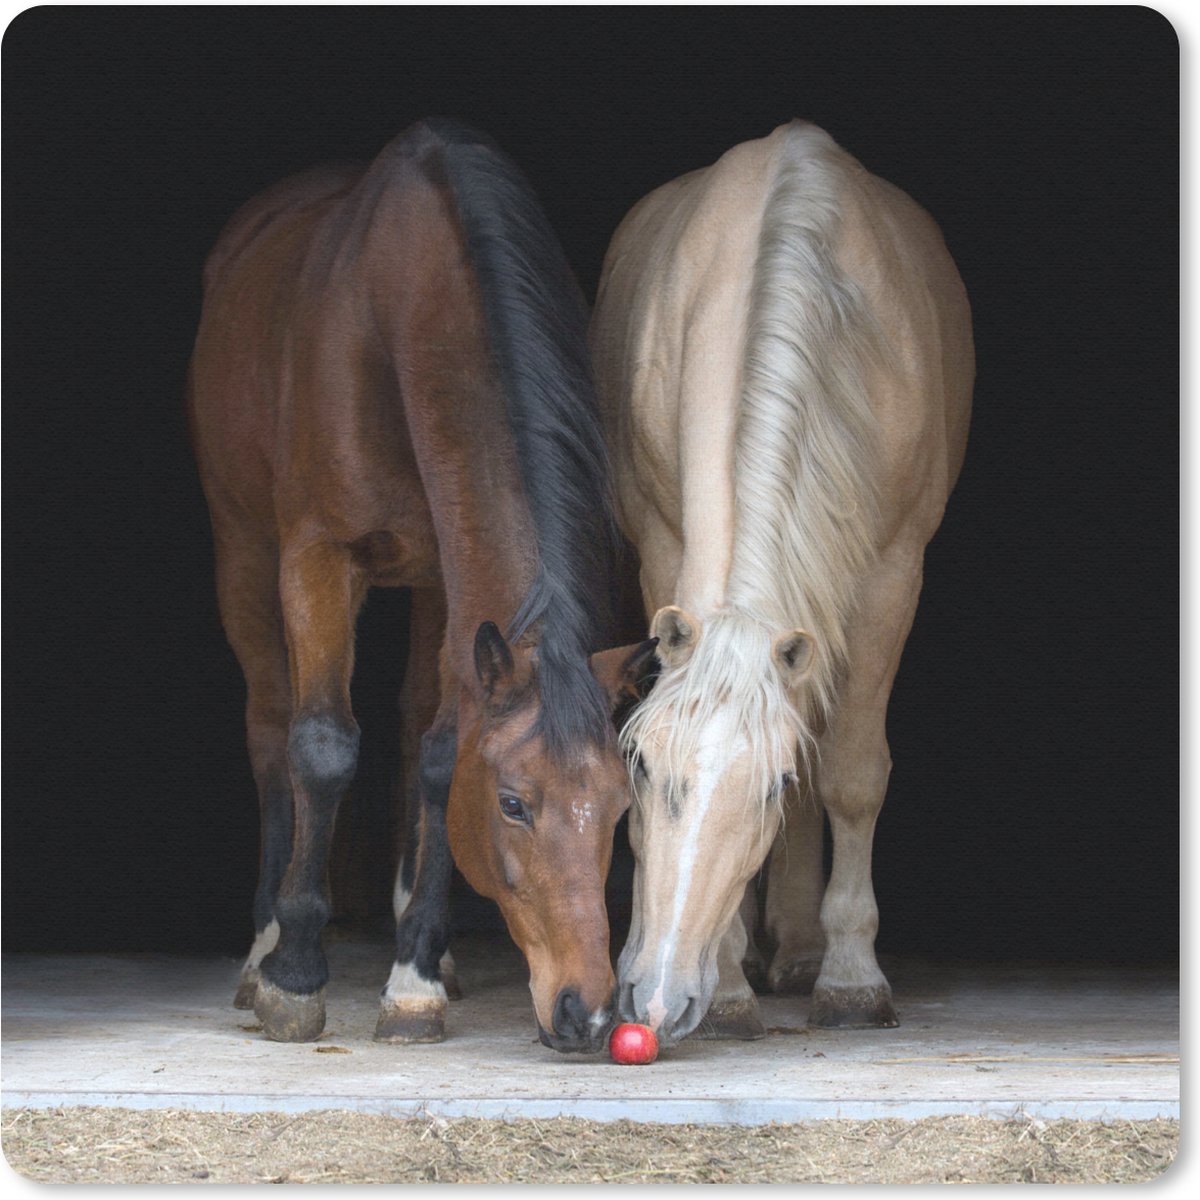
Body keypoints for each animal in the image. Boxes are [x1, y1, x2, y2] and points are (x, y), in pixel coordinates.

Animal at [187, 118, 656, 1052]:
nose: (588, 1014)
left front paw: (414, 976)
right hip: (243, 551)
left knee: (410, 729)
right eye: (512, 804)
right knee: (269, 726)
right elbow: (321, 745)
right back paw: (263, 945)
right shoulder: (317, 556)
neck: (398, 318)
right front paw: (296, 972)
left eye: (621, 807)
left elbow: (440, 756)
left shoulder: (452, 578)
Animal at [589, 120, 974, 1046]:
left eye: (769, 786)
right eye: (643, 767)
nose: (656, 1000)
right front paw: (729, 986)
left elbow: (850, 773)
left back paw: (801, 955)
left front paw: (852, 978)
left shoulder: (891, 575)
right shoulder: (663, 550)